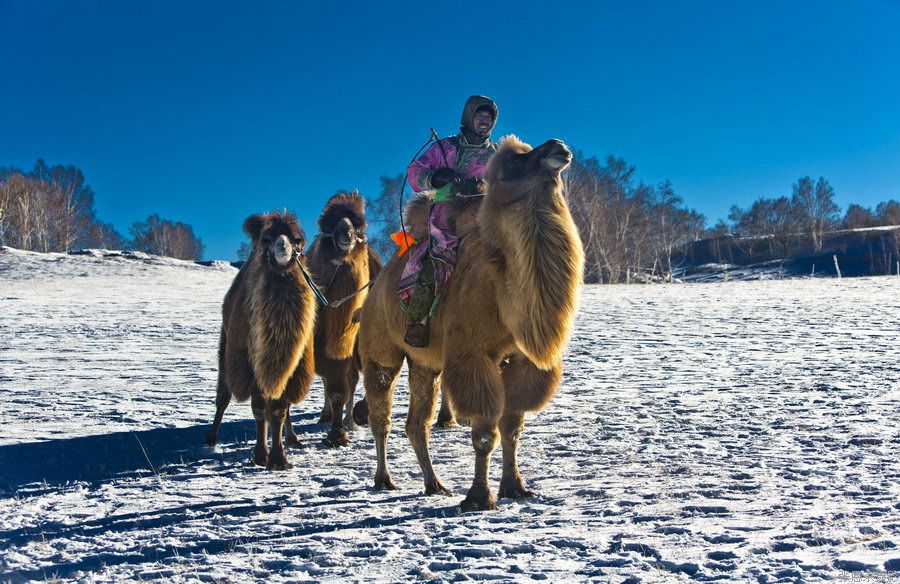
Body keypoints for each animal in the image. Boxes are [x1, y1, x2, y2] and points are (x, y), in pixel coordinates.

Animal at [204, 210, 316, 470]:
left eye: (297, 240)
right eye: (267, 239)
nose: (282, 247)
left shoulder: (291, 364)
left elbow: (278, 410)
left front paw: (279, 458)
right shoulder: (248, 362)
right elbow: (258, 409)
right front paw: (261, 455)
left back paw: (293, 438)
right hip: (226, 350)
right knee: (223, 395)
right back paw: (210, 439)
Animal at [282, 192, 380, 448]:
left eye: (357, 226)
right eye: (332, 226)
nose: (346, 233)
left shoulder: (348, 345)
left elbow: (344, 386)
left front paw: (344, 428)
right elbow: (334, 386)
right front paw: (336, 431)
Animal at [356, 137, 584, 512]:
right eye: (517, 161)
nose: (558, 146)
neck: (502, 289)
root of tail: (376, 285)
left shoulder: (521, 360)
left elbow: (512, 428)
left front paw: (515, 487)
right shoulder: (474, 355)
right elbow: (484, 434)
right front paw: (478, 497)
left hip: (424, 363)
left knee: (416, 424)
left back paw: (434, 485)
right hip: (381, 352)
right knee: (381, 416)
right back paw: (384, 479)